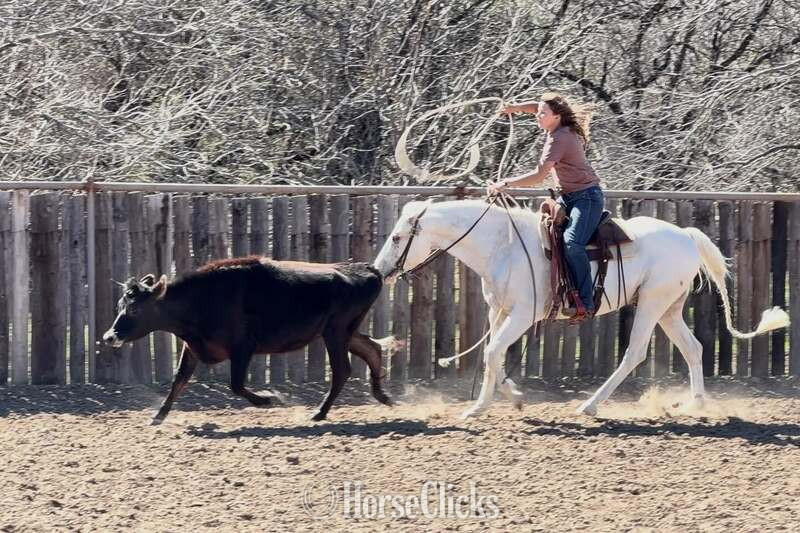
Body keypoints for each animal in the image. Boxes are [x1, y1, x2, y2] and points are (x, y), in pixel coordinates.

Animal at [373, 199, 789, 419]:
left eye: (396, 237)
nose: (380, 271)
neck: (503, 247)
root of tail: (686, 236)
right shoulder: (499, 312)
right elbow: (493, 354)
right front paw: (511, 395)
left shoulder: (522, 315)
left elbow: (492, 352)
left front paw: (479, 407)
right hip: (670, 309)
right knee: (693, 349)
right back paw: (695, 404)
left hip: (652, 303)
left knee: (634, 353)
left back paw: (590, 405)